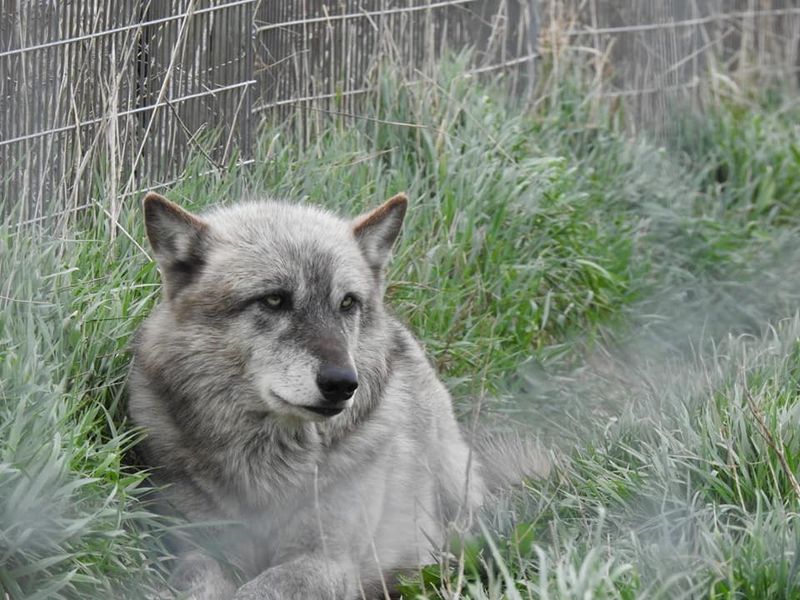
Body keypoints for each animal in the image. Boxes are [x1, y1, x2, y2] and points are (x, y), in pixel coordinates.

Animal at [128, 191, 546, 599]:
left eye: (347, 303)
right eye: (274, 300)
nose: (343, 383)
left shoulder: (325, 562)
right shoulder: (198, 552)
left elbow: (261, 589)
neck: (268, 469)